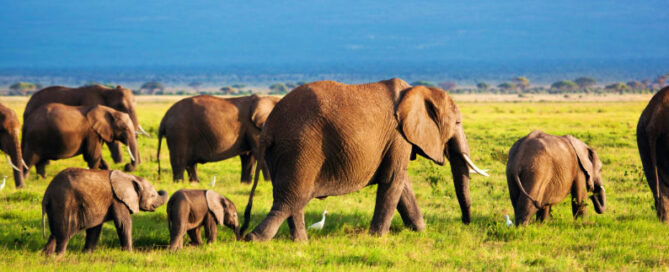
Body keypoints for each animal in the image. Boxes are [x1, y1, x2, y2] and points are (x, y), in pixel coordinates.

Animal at [240, 77, 486, 241]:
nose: (466, 223)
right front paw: (377, 238)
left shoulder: (396, 141)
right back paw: (255, 239)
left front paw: (419, 231)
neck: (417, 91)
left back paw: (299, 242)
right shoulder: (398, 137)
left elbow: (403, 185)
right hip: (300, 149)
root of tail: (270, 127)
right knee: (289, 200)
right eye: (457, 123)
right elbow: (393, 181)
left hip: (285, 153)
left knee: (293, 200)